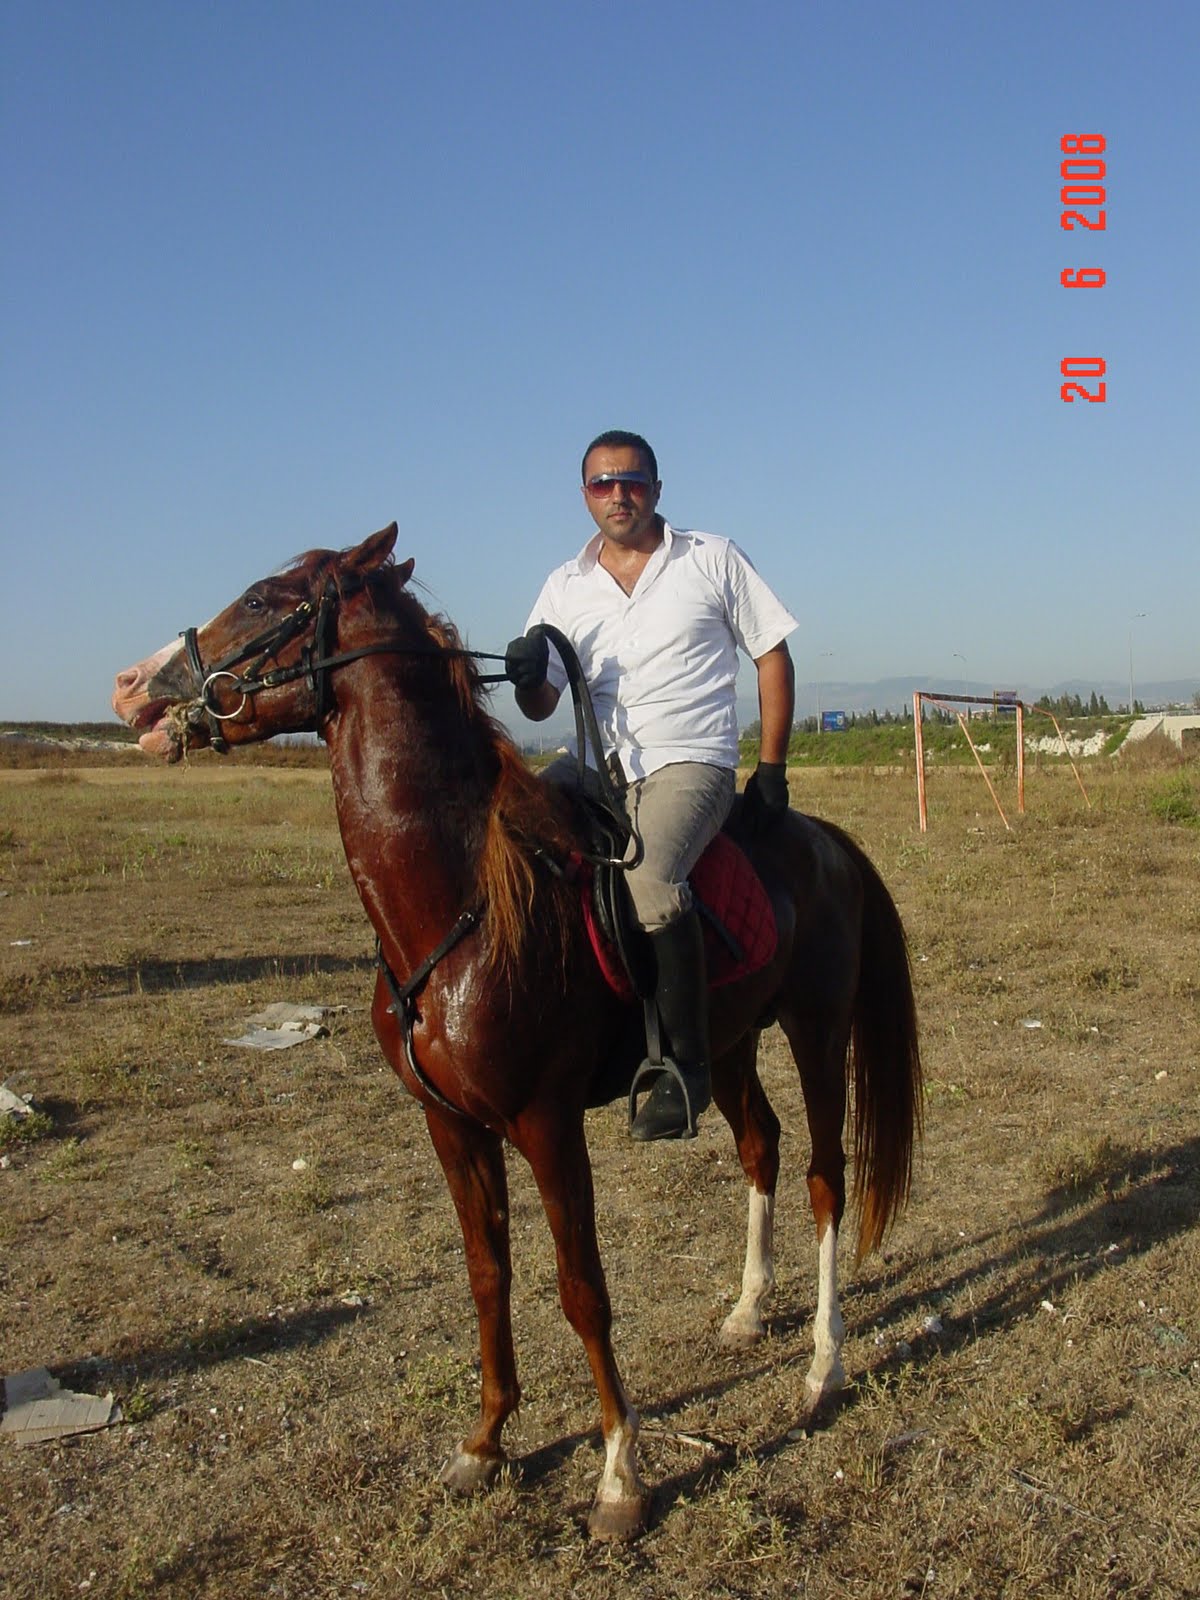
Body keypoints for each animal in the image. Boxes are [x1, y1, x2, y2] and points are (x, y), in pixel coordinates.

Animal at [111, 523, 922, 1539]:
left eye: (262, 599)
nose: (132, 688)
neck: (459, 902)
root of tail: (823, 838)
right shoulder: (452, 1126)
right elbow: (487, 1273)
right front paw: (486, 1443)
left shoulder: (547, 1124)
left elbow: (582, 1291)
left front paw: (619, 1475)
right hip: (729, 1046)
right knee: (760, 1149)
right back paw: (746, 1311)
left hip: (817, 1031)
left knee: (824, 1177)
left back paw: (823, 1366)